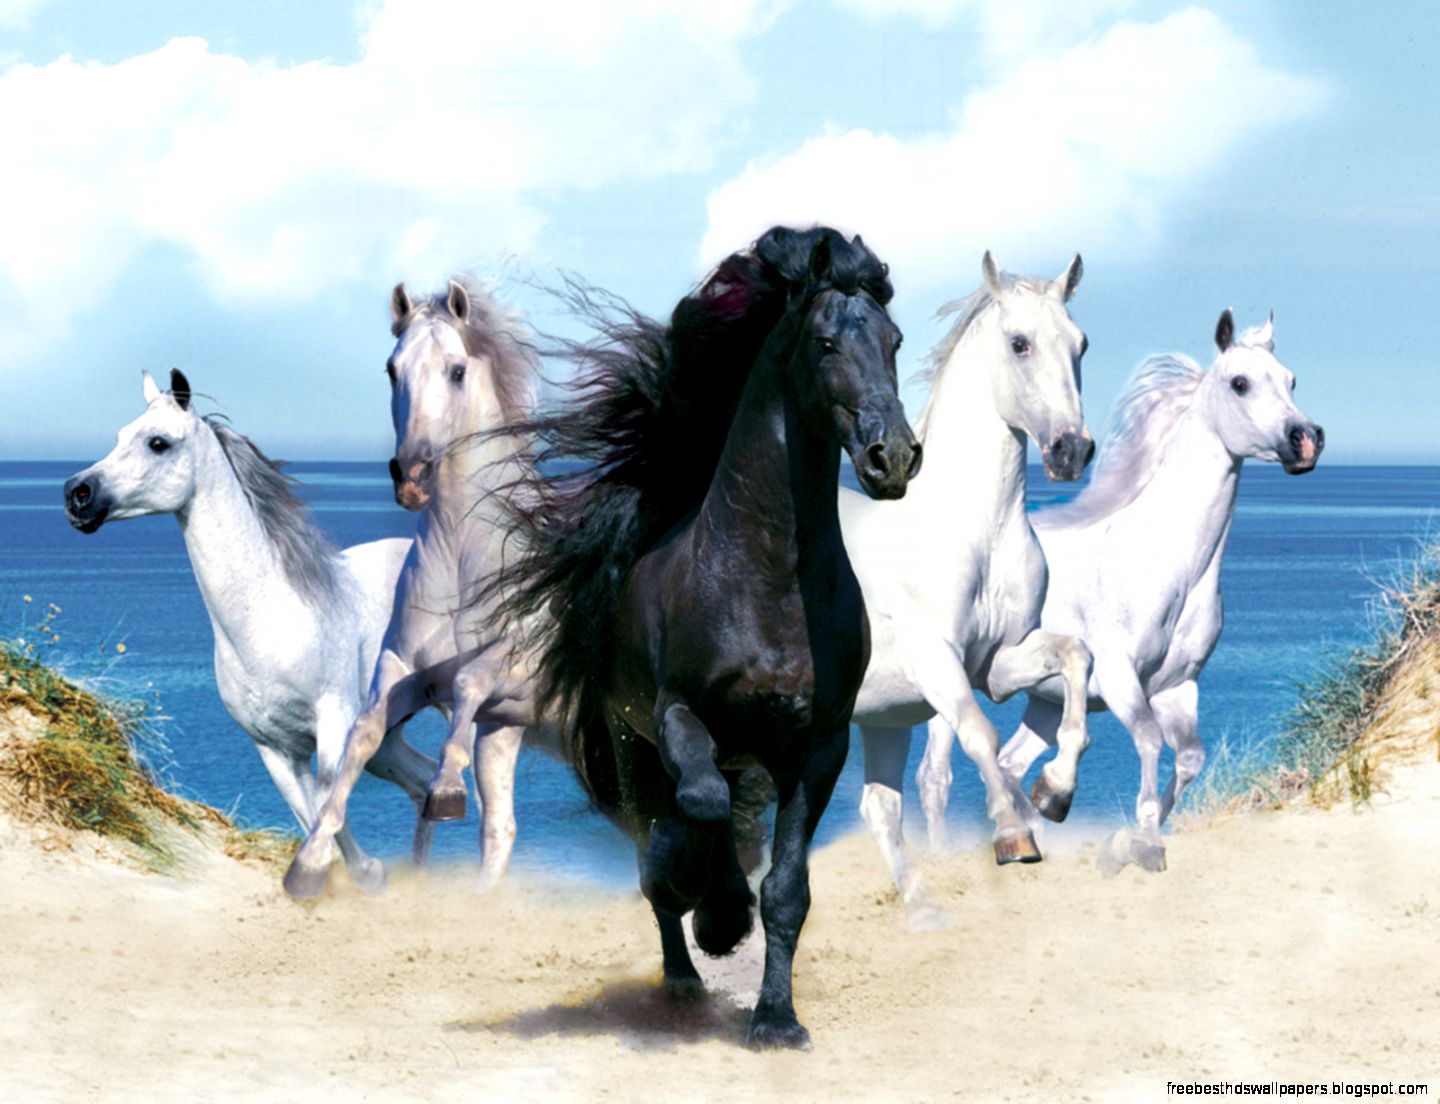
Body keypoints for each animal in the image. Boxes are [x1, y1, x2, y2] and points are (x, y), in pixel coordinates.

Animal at [62, 370, 437, 888]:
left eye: (158, 443)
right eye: (120, 435)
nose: (77, 493)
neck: (269, 616)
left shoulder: (333, 725)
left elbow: (328, 806)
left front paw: (366, 874)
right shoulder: (274, 749)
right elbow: (310, 814)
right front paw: (350, 878)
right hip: (388, 737)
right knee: (427, 783)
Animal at [284, 278, 544, 899]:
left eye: (456, 370)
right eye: (391, 369)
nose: (413, 477)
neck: (464, 556)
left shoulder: (512, 660)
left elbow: (471, 681)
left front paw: (446, 789)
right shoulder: (409, 672)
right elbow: (363, 733)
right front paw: (308, 864)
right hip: (507, 733)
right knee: (500, 828)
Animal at [494, 227, 920, 1050]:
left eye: (894, 341)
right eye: (825, 342)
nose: (894, 457)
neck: (769, 582)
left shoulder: (818, 747)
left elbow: (787, 890)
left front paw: (777, 1018)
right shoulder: (678, 716)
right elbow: (697, 808)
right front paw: (719, 915)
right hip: (635, 747)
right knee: (666, 836)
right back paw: (687, 965)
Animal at [843, 251, 1094, 927]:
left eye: (1081, 344)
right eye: (1019, 343)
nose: (1072, 450)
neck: (977, 530)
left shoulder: (999, 663)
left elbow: (1076, 657)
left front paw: (1054, 792)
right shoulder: (937, 662)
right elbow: (980, 734)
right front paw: (1013, 834)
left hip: (881, 717)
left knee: (879, 806)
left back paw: (924, 910)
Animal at [918, 309, 1325, 874]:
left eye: (1291, 380)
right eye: (1240, 383)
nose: (1305, 438)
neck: (1172, 566)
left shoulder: (1179, 687)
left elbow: (1190, 759)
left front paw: (1130, 832)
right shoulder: (1118, 678)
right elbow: (1150, 740)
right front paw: (1140, 840)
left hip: (1043, 700)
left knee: (1010, 761)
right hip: (947, 687)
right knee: (935, 776)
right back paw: (944, 856)